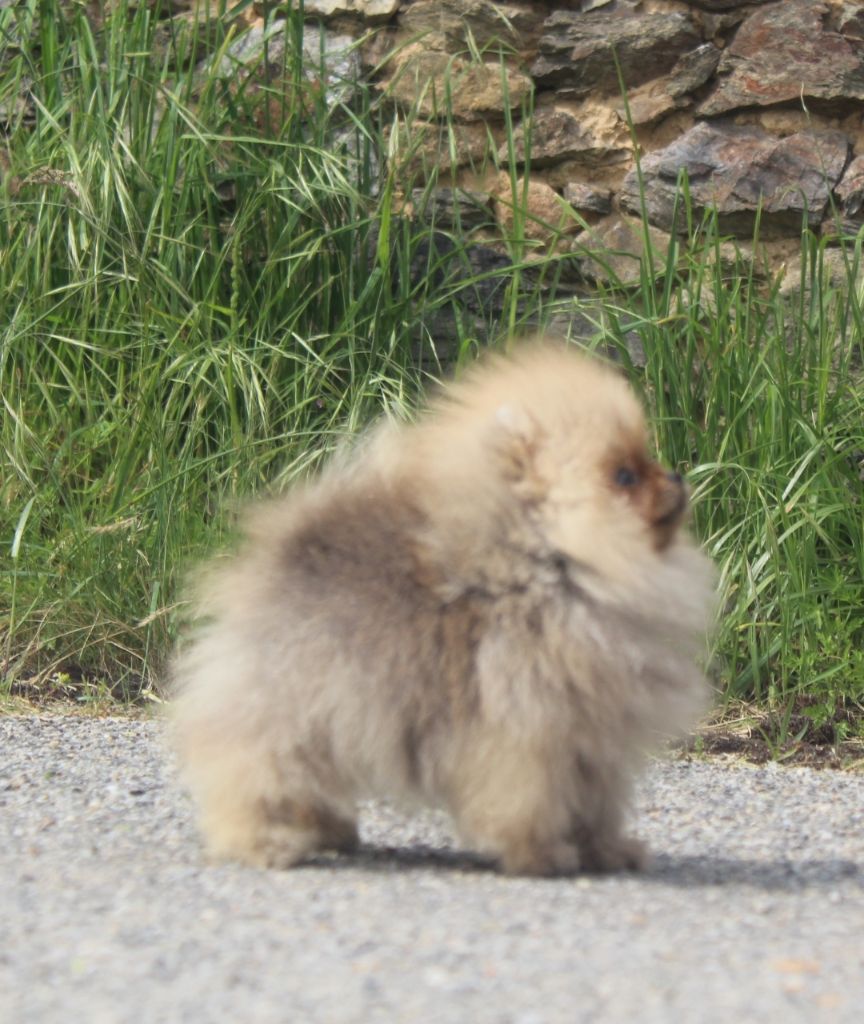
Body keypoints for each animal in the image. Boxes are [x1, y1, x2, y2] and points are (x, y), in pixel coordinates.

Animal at [169, 339, 716, 876]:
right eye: (623, 475)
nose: (676, 476)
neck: (553, 564)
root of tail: (288, 542)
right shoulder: (527, 732)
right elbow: (531, 801)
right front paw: (541, 856)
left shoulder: (590, 739)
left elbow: (595, 805)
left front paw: (606, 851)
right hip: (287, 703)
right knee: (257, 770)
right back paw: (265, 842)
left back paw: (329, 830)